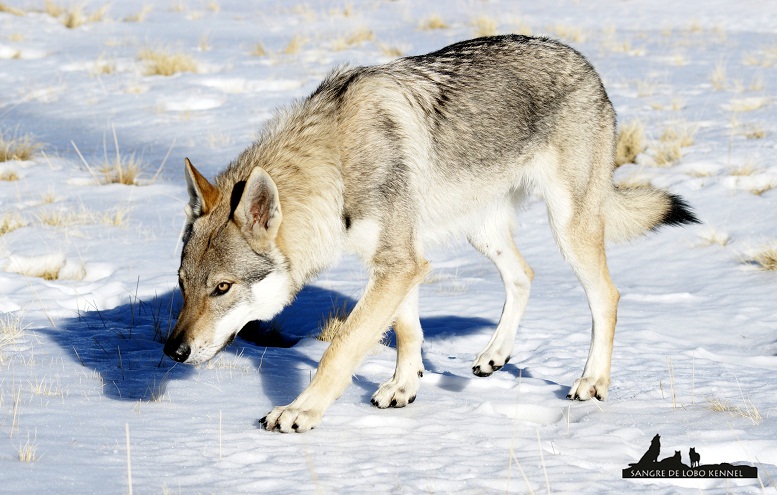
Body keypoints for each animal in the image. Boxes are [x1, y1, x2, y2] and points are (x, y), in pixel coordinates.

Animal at [165, 35, 696, 432]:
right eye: (182, 285)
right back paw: (494, 356)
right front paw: (404, 388)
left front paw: (300, 411)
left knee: (607, 294)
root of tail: (587, 65)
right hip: (482, 231)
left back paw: (592, 383)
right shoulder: (401, 261)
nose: (172, 351)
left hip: (568, 227)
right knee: (523, 274)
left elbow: (341, 348)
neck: (337, 164)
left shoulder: (399, 263)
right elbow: (407, 331)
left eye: (222, 288)